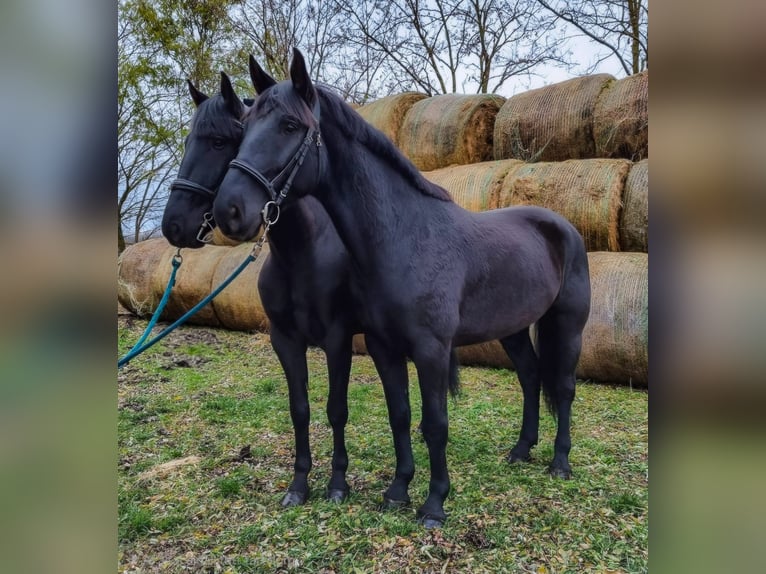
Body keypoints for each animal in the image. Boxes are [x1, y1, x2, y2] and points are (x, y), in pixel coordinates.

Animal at [160, 66, 366, 505]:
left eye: (221, 141)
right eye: (187, 141)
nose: (174, 225)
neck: (304, 252)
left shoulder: (338, 340)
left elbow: (336, 408)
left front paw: (337, 483)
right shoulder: (285, 341)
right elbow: (300, 409)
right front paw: (299, 484)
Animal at [213, 49, 591, 528]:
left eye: (289, 125)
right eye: (244, 127)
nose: (229, 210)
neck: (403, 237)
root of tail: (562, 226)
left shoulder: (430, 349)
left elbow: (435, 424)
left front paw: (434, 504)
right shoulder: (383, 347)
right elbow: (400, 415)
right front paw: (397, 491)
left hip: (567, 326)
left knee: (562, 387)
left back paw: (560, 462)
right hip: (512, 330)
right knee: (530, 376)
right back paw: (521, 451)